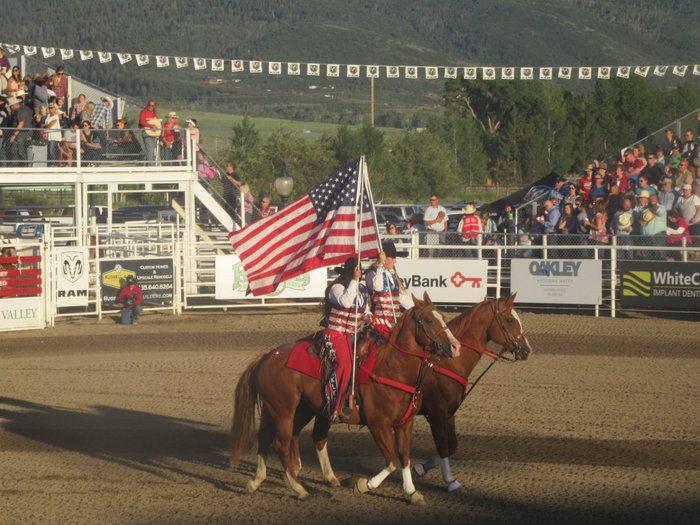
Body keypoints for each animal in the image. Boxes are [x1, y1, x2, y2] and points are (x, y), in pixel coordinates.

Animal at [230, 292, 460, 502]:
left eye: (442, 316)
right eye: (429, 320)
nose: (455, 347)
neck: (392, 368)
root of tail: (267, 357)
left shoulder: (405, 423)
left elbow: (404, 458)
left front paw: (412, 492)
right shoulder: (378, 425)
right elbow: (391, 461)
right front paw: (364, 484)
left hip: (293, 410)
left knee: (268, 438)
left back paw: (258, 481)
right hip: (283, 412)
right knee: (281, 445)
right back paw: (299, 489)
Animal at [412, 294, 532, 492]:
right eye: (510, 319)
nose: (527, 350)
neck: (444, 363)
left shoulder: (449, 412)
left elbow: (451, 445)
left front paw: (421, 468)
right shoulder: (436, 412)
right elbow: (443, 445)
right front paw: (450, 480)